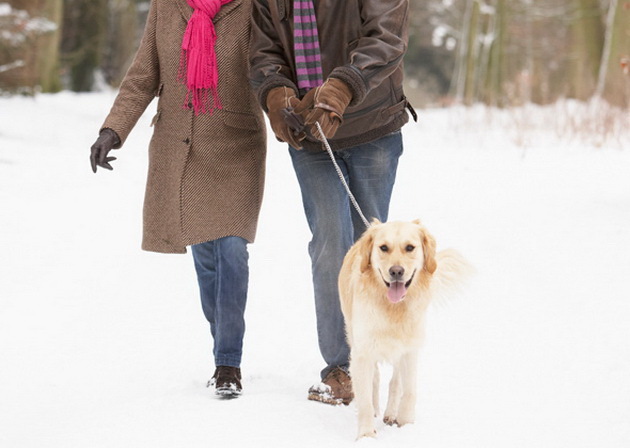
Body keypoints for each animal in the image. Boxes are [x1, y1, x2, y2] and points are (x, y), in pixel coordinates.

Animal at [340, 220, 470, 438]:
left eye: (410, 248)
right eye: (383, 248)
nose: (396, 272)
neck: (394, 308)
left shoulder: (410, 349)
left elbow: (409, 390)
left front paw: (406, 423)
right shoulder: (362, 352)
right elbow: (365, 397)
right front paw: (366, 435)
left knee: (396, 382)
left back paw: (391, 413)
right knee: (375, 378)